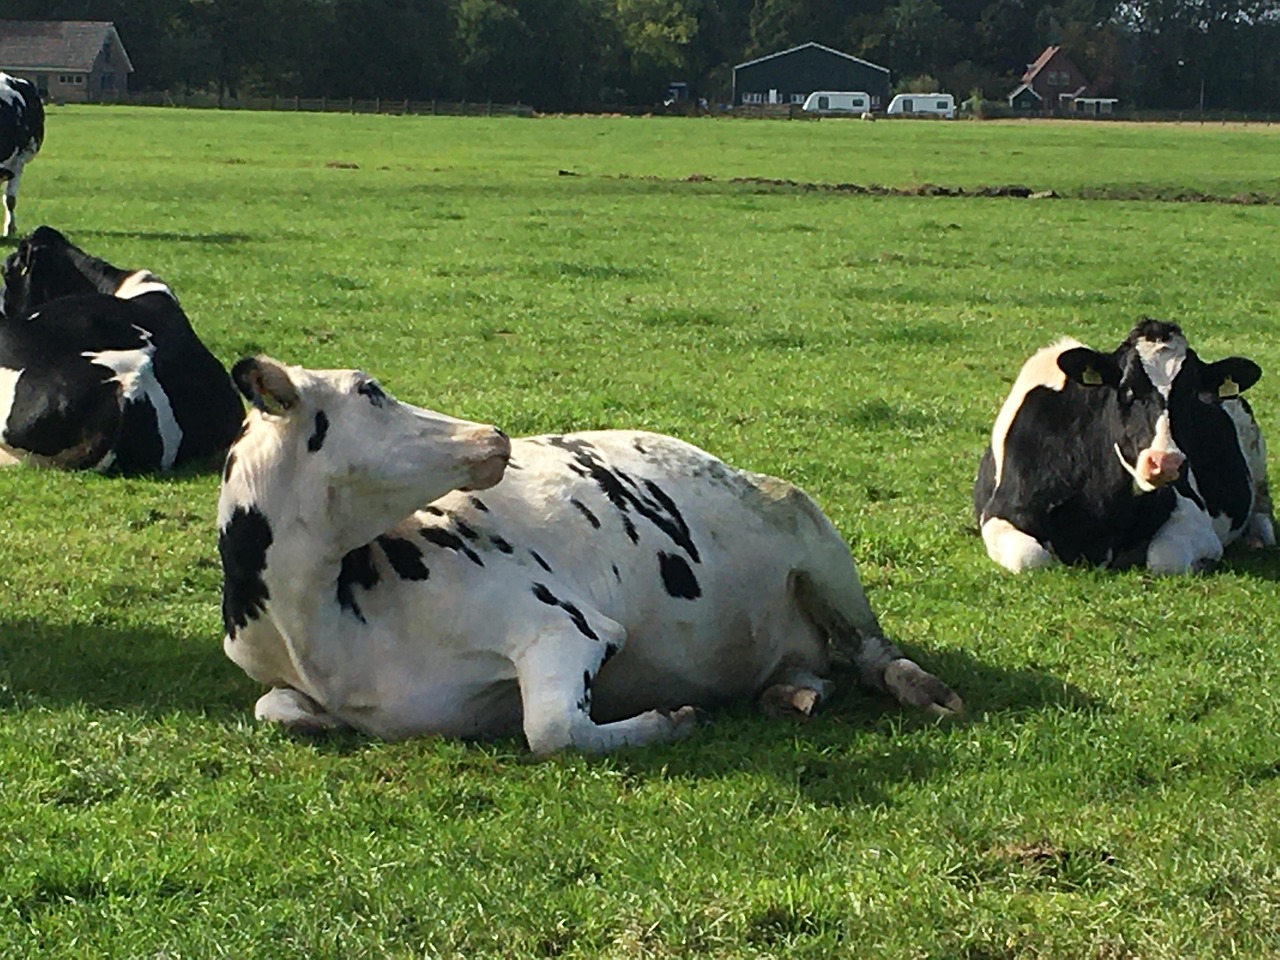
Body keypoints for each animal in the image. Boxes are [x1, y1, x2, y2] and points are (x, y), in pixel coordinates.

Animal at [219, 357, 963, 754]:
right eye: (369, 390)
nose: (494, 434)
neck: (324, 623)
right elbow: (275, 709)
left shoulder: (563, 625)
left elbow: (551, 729)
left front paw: (671, 718)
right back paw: (792, 694)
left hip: (813, 534)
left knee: (870, 650)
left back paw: (921, 688)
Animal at [974, 318, 1273, 575]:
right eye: (1128, 390)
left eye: (1191, 395)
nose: (1165, 462)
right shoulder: (1000, 513)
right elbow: (1031, 559)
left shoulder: (1192, 512)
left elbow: (1166, 559)